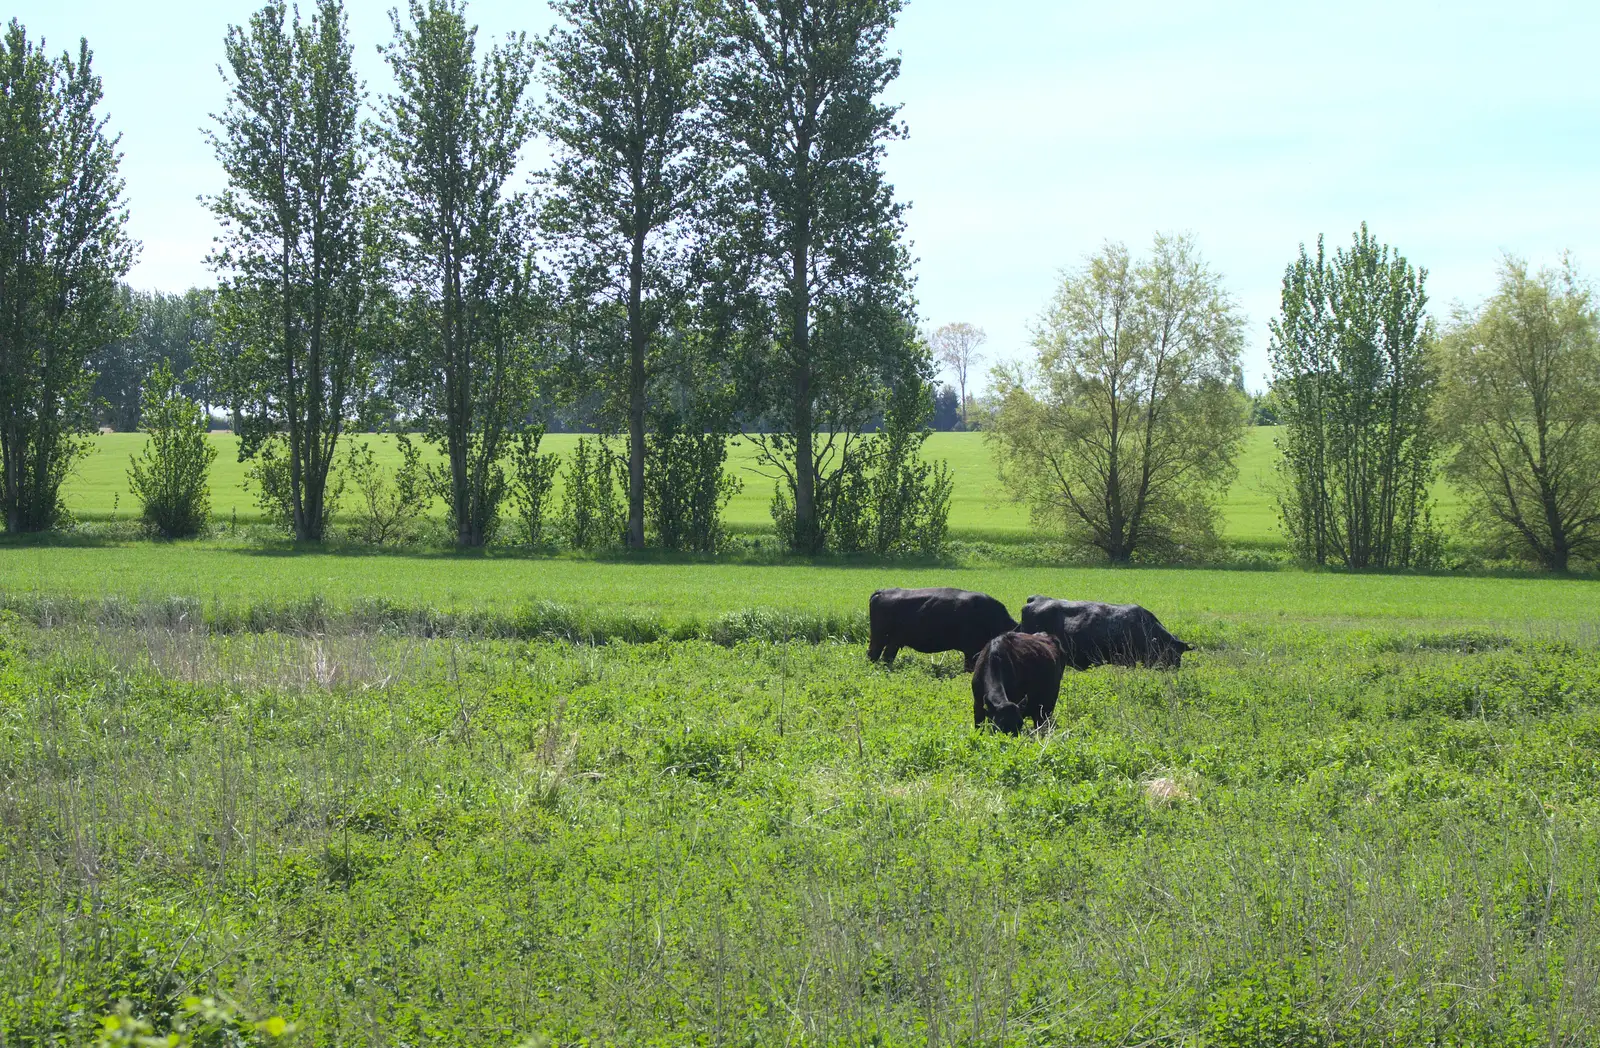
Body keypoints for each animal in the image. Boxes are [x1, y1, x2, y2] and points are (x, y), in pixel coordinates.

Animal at [870, 585, 1017, 668]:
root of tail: (881, 591)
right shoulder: (971, 651)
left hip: (894, 641)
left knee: (886, 657)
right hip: (879, 638)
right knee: (874, 655)